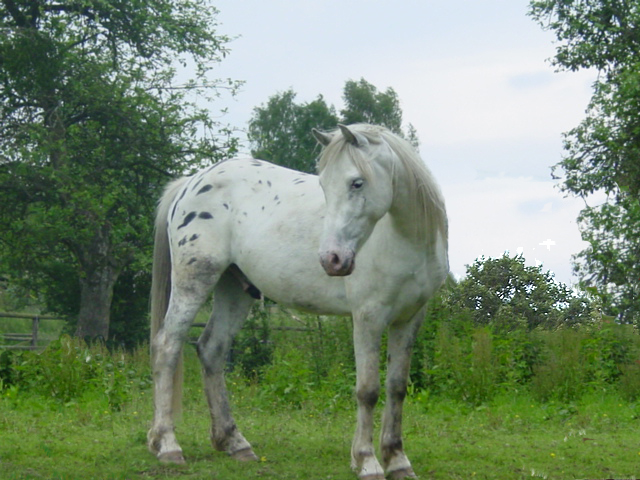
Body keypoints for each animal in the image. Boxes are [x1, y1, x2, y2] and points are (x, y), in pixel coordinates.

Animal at [147, 124, 448, 480]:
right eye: (324, 185)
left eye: (356, 182)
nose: (332, 259)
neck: (402, 239)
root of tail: (190, 183)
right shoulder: (368, 318)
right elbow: (368, 390)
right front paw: (367, 460)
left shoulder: (409, 319)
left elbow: (397, 388)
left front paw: (398, 461)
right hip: (194, 280)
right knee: (167, 346)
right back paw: (168, 446)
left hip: (234, 290)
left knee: (211, 349)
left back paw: (235, 442)